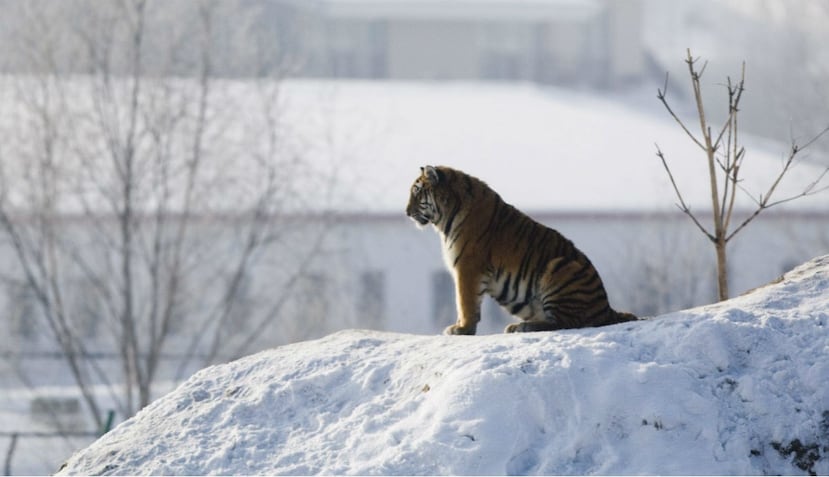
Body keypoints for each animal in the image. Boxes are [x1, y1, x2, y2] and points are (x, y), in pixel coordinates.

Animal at [406, 165, 632, 334]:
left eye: (417, 191)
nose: (407, 212)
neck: (445, 219)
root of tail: (607, 308)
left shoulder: (467, 266)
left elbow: (465, 301)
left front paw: (461, 329)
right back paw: (518, 326)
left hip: (561, 267)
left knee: (568, 323)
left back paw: (525, 327)